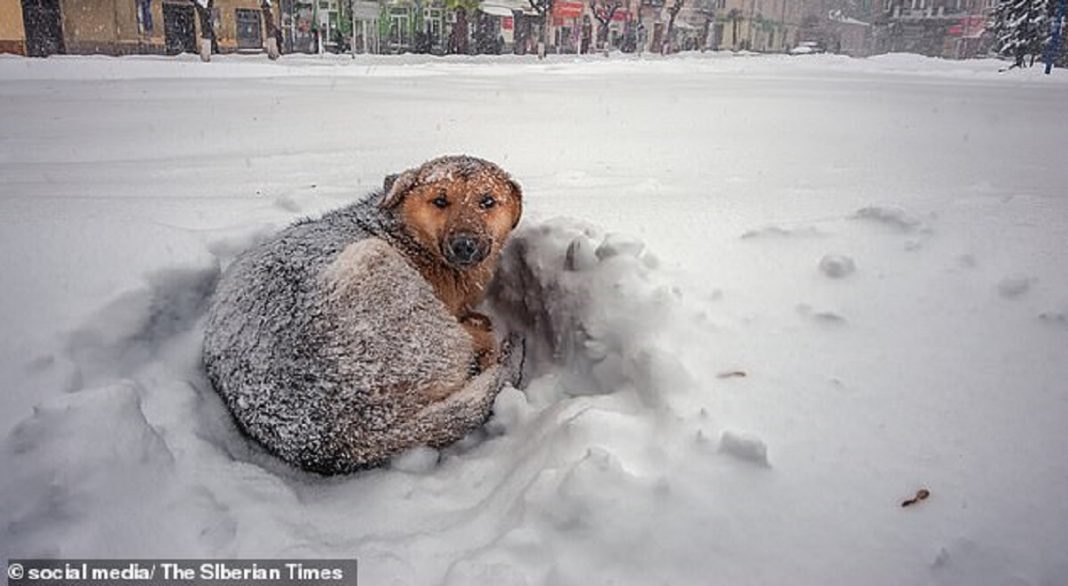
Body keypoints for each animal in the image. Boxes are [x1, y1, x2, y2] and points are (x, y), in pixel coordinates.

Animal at [201, 156, 523, 476]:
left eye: (487, 201)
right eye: (440, 201)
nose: (464, 246)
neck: (407, 236)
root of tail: (340, 436)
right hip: (379, 274)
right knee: (475, 351)